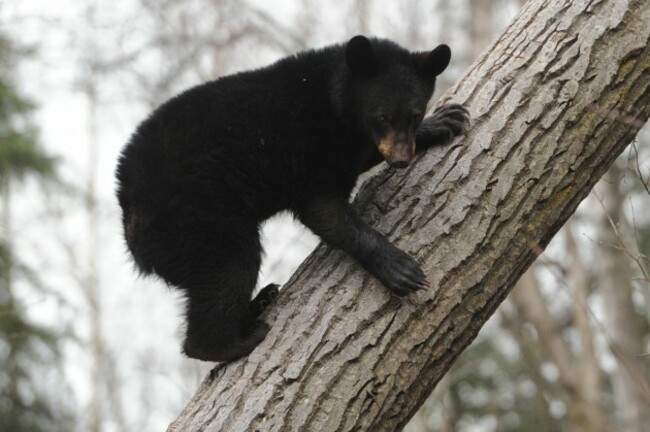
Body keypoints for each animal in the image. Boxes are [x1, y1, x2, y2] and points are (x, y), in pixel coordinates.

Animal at [116, 36, 468, 362]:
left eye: (414, 115)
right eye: (382, 116)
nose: (401, 160)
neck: (335, 98)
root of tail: (129, 216)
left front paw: (445, 121)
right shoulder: (315, 144)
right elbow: (325, 209)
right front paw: (401, 270)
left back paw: (259, 302)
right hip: (198, 215)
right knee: (230, 267)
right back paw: (236, 340)